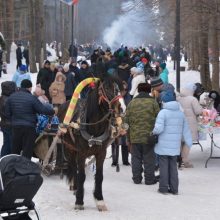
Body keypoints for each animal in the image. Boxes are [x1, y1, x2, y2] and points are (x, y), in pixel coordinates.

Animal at [57, 75, 125, 211]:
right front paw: (79, 201)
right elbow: (81, 175)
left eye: (119, 89)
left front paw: (99, 200)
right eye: (106, 88)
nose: (120, 108)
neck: (94, 127)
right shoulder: (81, 153)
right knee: (74, 168)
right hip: (69, 149)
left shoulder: (101, 153)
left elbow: (99, 176)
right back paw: (75, 187)